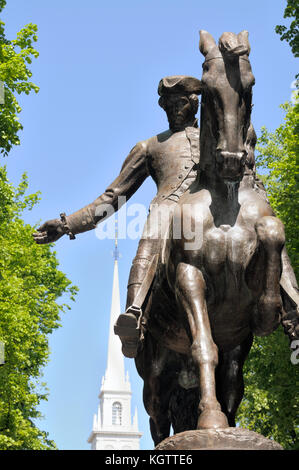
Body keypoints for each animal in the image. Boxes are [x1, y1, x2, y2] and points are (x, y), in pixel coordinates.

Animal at [135, 31, 290, 446]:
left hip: (234, 352)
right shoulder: (189, 276)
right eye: (208, 87)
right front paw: (211, 420)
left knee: (232, 385)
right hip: (156, 372)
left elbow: (272, 232)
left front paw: (269, 309)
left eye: (249, 85)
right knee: (158, 418)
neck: (224, 203)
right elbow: (204, 345)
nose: (233, 159)